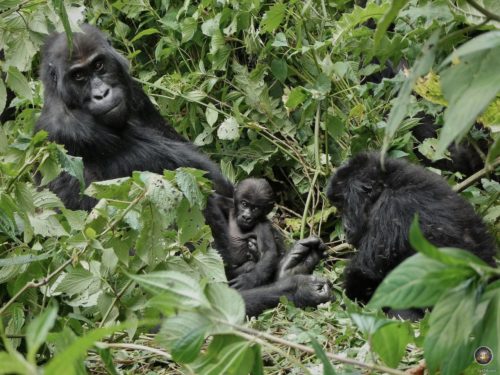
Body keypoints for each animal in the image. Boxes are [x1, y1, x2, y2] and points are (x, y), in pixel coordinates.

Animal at [36, 24, 332, 318]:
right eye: (78, 76)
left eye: (98, 65)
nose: (101, 93)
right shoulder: (70, 129)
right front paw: (290, 287)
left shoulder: (134, 91)